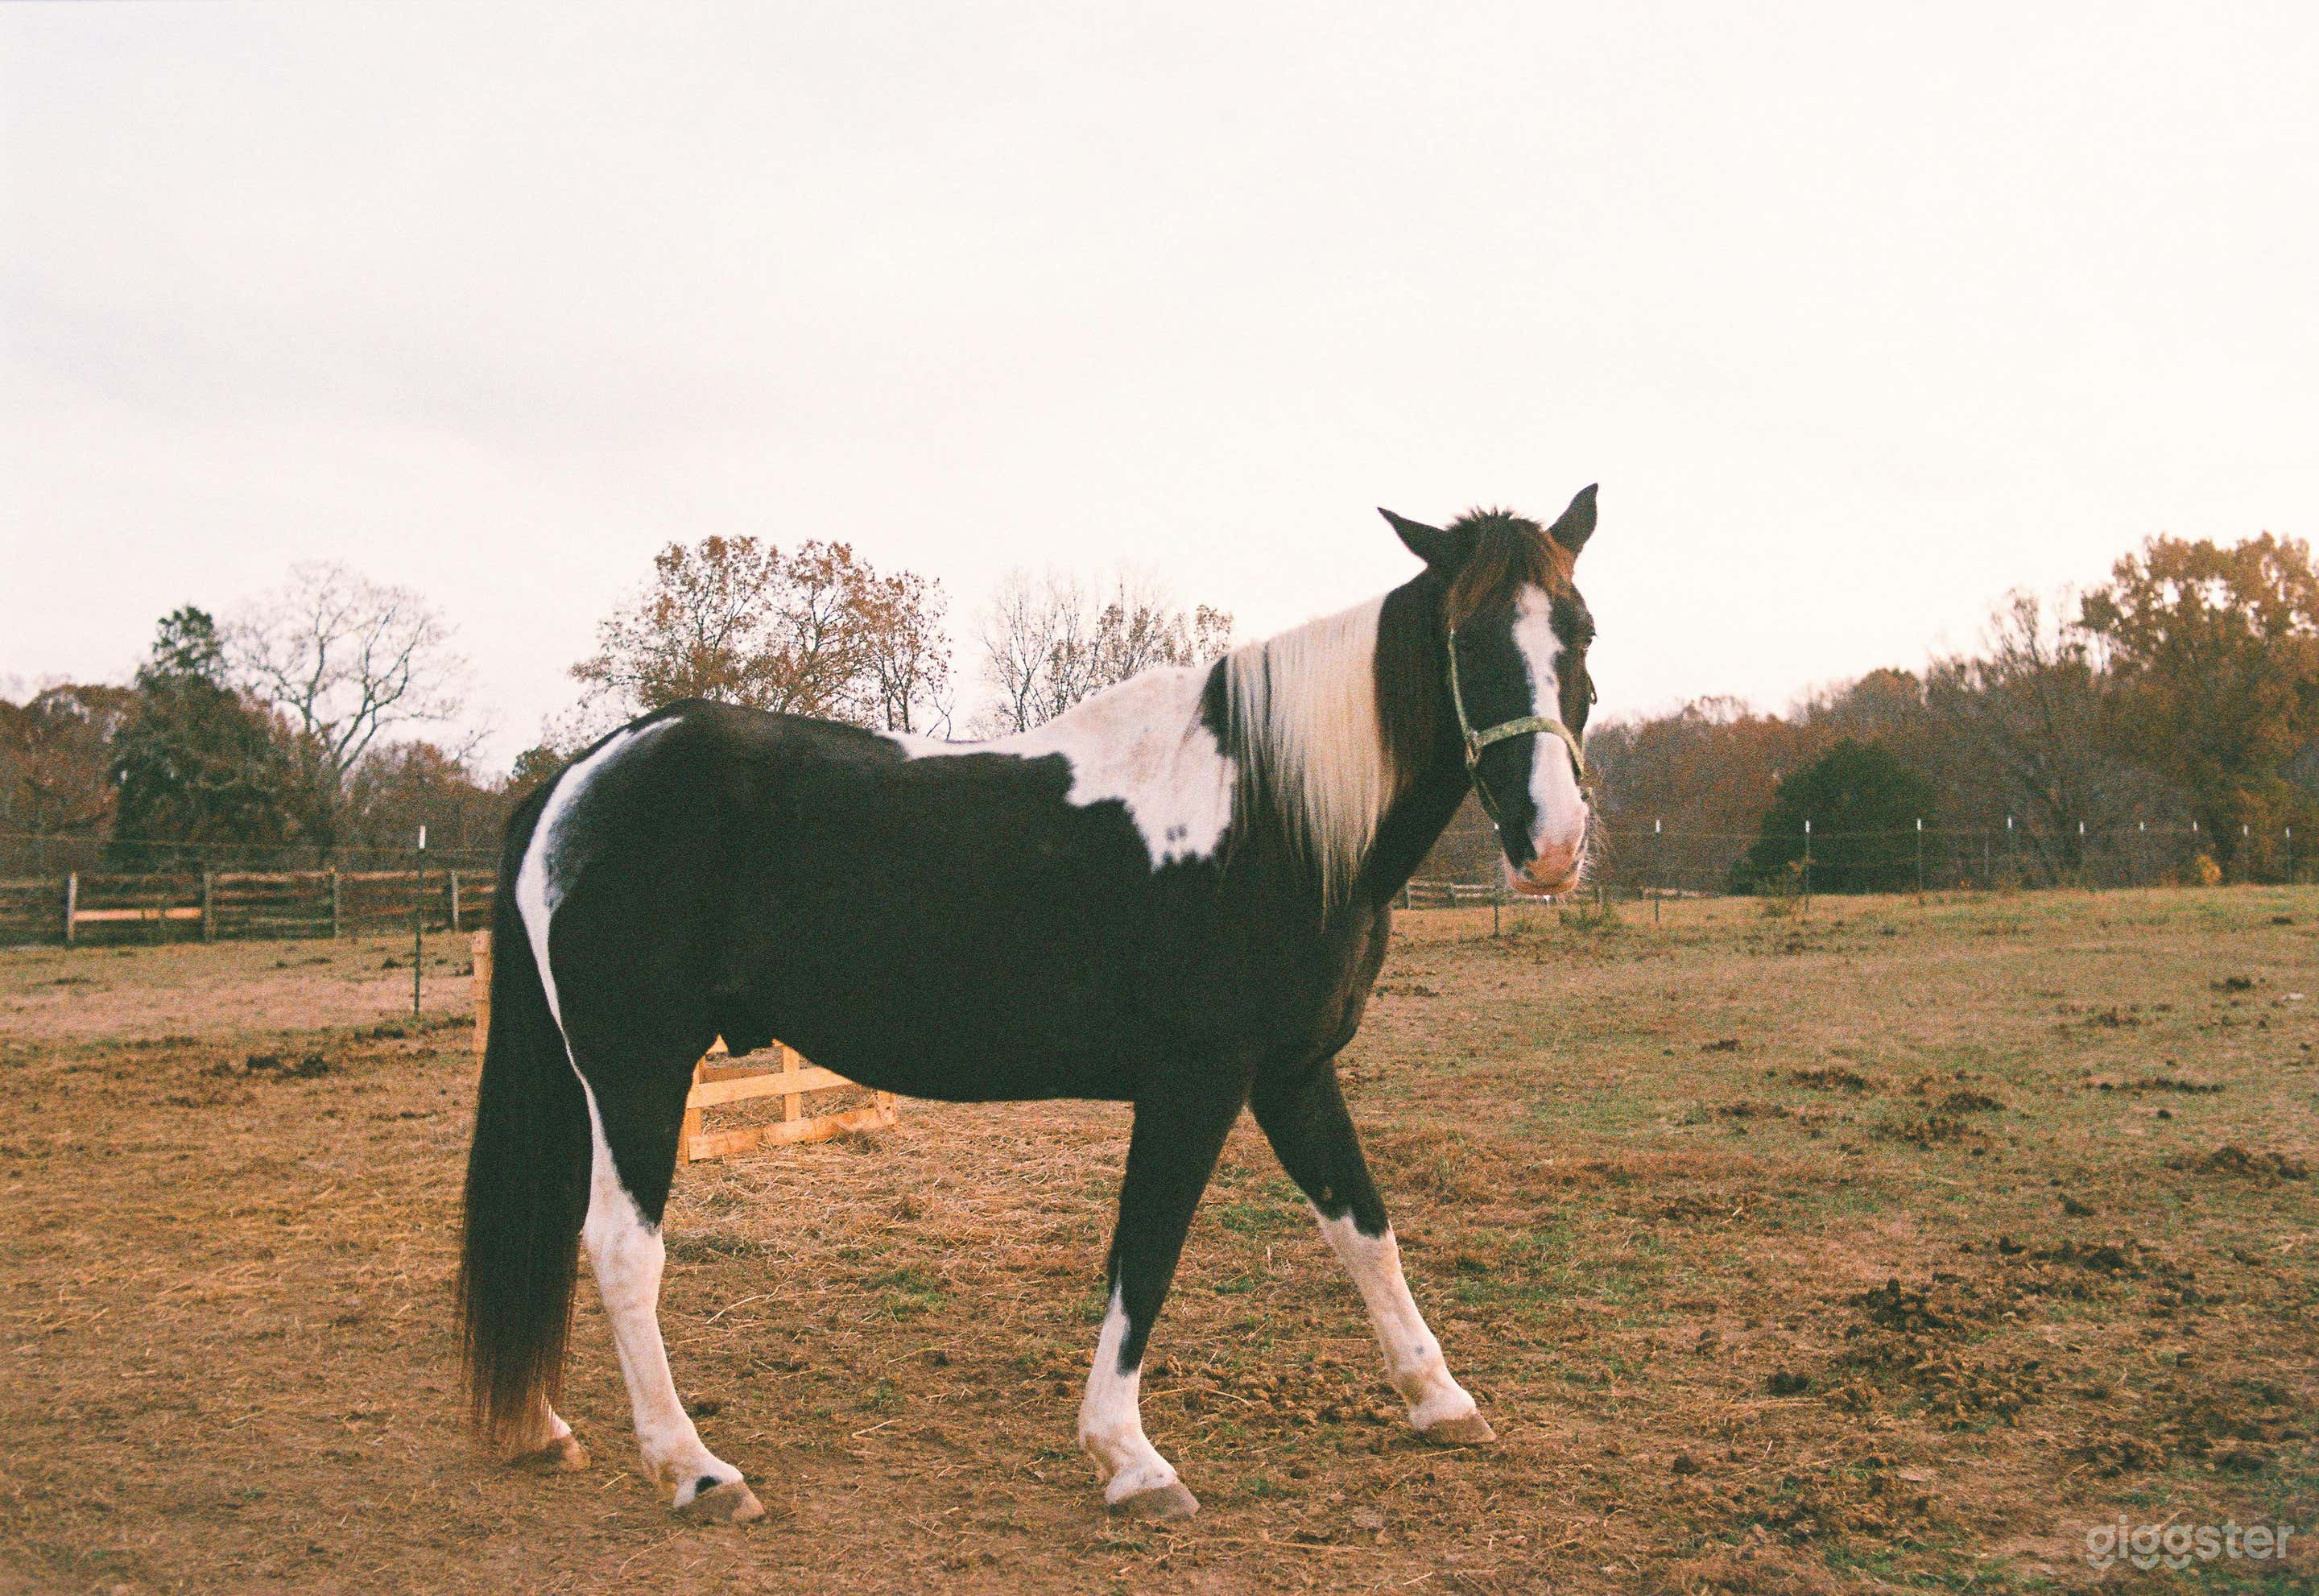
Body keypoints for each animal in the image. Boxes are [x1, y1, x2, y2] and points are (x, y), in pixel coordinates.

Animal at [457, 486, 1600, 1522]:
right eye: (1463, 637)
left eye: (1580, 632)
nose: (1550, 841)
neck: (1270, 815)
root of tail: (580, 777)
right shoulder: (1196, 1080)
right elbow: (1147, 1250)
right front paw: (1130, 1457)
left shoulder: (1292, 1072)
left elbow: (1364, 1229)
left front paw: (1440, 1398)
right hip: (639, 1070)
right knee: (622, 1249)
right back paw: (695, 1469)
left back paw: (547, 1428)